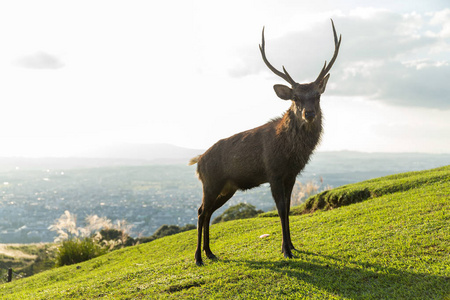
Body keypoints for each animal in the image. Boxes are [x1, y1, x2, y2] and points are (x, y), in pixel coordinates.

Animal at [189, 19, 342, 266]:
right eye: (295, 97)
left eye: (317, 95)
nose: (309, 113)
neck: (291, 153)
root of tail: (198, 161)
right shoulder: (273, 172)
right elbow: (280, 209)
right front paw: (285, 250)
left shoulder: (291, 175)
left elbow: (288, 208)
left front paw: (293, 246)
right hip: (211, 182)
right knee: (201, 211)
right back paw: (198, 258)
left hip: (227, 187)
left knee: (209, 211)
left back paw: (210, 252)